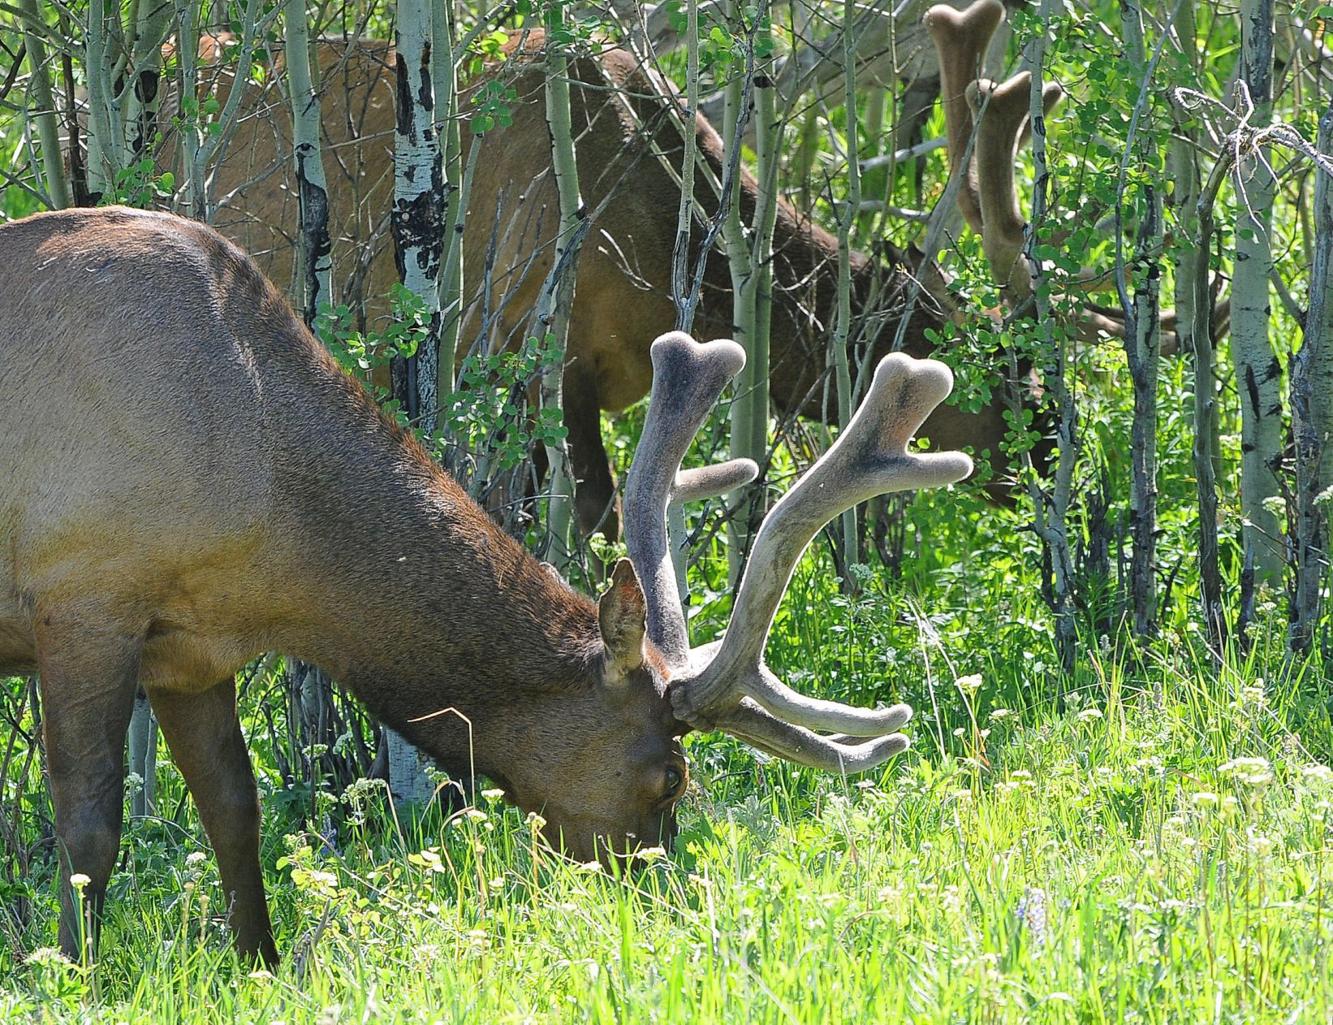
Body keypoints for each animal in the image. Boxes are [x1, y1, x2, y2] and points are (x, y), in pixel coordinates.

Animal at [0, 204, 971, 965]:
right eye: (668, 777)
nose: (668, 907)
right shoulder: (85, 590)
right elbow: (89, 825)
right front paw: (77, 976)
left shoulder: (191, 645)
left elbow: (235, 812)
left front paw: (260, 966)